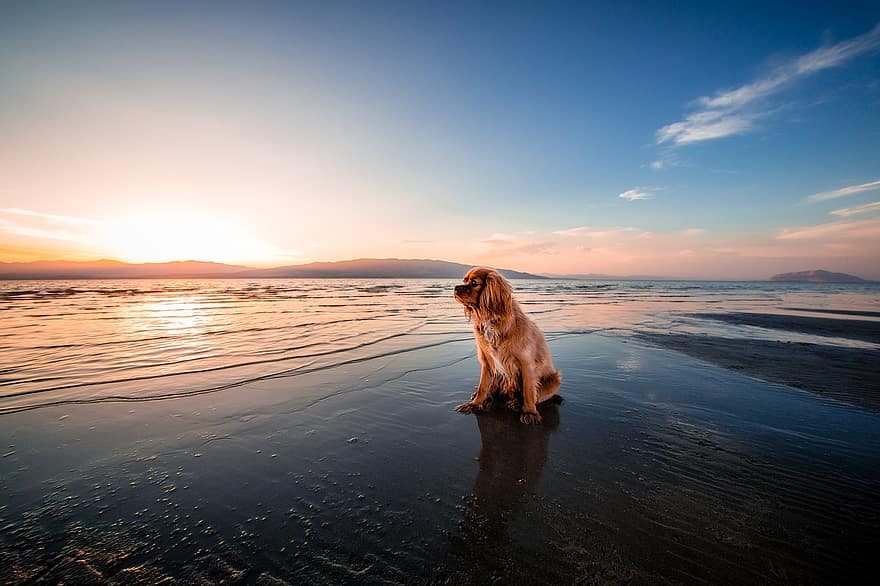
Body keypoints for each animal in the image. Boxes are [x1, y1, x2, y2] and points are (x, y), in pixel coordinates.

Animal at [454, 266, 564, 422]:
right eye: (464, 281)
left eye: (474, 283)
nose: (455, 287)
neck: (492, 320)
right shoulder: (487, 361)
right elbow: (483, 386)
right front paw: (475, 404)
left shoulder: (526, 363)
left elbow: (528, 391)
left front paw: (529, 412)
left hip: (554, 380)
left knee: (536, 396)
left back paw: (517, 403)